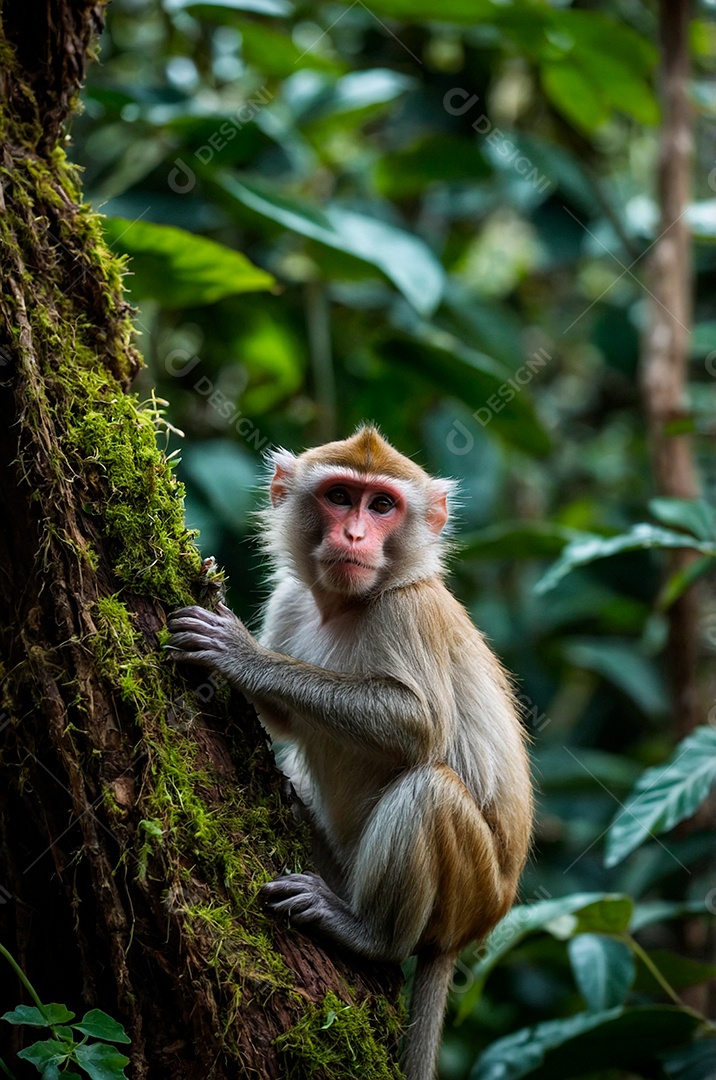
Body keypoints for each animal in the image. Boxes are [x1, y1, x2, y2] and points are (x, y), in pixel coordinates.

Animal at [167, 426, 532, 1080]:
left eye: (382, 505)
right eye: (340, 497)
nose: (355, 535)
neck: (346, 604)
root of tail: (474, 928)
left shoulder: (408, 609)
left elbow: (417, 726)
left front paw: (241, 654)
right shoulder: (291, 598)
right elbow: (286, 720)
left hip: (473, 887)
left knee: (429, 788)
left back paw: (368, 934)